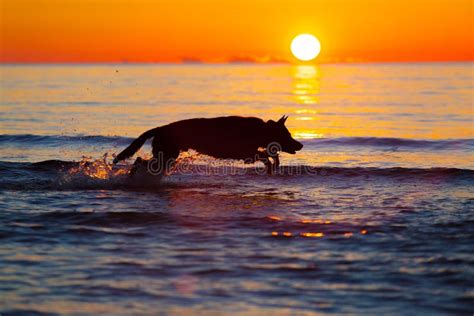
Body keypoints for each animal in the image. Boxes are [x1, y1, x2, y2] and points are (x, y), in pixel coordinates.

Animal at [113, 115, 302, 175]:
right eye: (288, 135)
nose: (300, 145)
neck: (261, 130)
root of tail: (161, 128)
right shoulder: (244, 152)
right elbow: (265, 154)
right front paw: (271, 165)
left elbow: (269, 154)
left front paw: (273, 164)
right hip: (167, 156)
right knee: (140, 161)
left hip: (166, 157)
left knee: (140, 161)